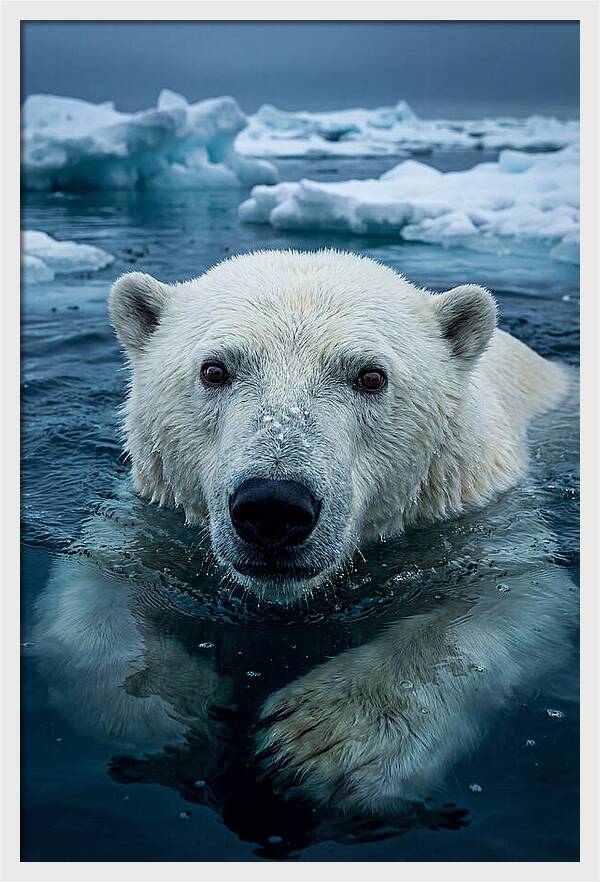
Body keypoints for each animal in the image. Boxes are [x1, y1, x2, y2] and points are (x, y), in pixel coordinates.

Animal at [31, 250, 576, 836]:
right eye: (215, 369)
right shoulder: (154, 519)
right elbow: (95, 591)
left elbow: (513, 599)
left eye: (370, 375)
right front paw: (174, 710)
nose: (273, 506)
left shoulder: (477, 517)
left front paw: (323, 740)